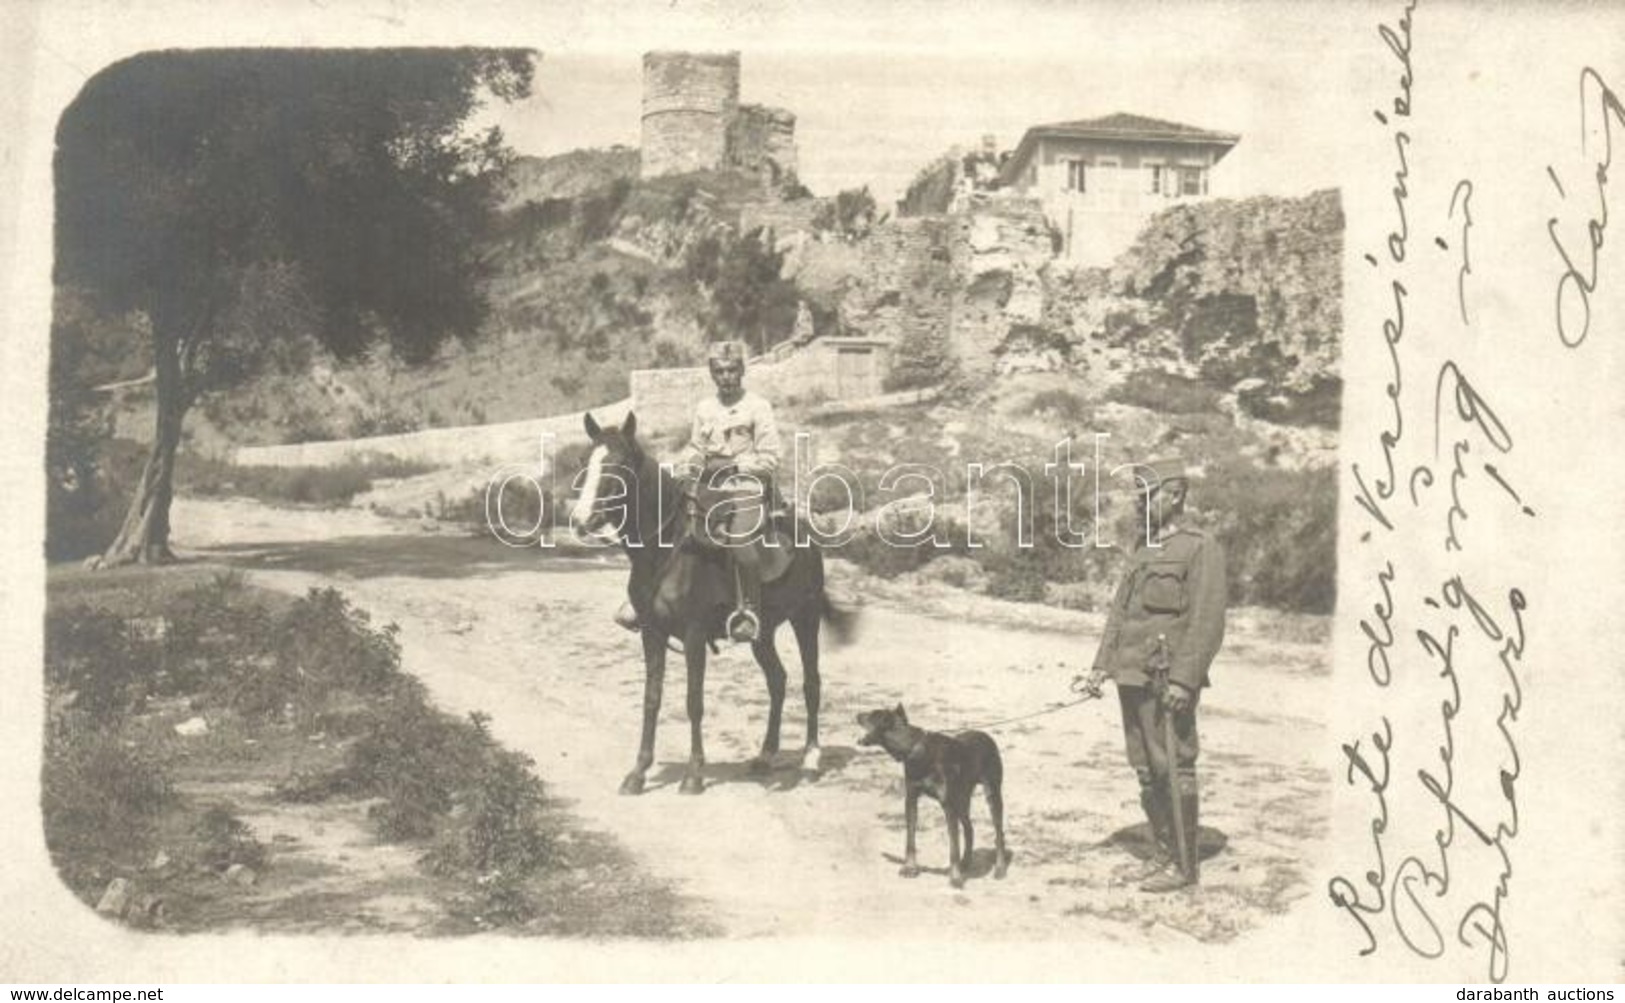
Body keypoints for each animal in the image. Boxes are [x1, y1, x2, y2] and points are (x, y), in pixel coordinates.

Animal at [568, 411, 858, 793]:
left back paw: (810, 760)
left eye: (619, 465)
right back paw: (765, 756)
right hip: (763, 634)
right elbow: (651, 698)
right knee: (777, 681)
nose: (580, 520)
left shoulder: (693, 635)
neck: (666, 548)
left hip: (805, 618)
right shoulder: (652, 633)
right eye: (584, 463)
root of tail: (807, 538)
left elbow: (694, 701)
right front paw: (638, 772)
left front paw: (694, 774)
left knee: (811, 683)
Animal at [858, 705, 1007, 884]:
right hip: (962, 798)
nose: (856, 715)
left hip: (992, 793)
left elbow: (954, 845)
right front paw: (910, 867)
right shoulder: (911, 799)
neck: (915, 749)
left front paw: (955, 877)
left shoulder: (948, 805)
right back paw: (965, 862)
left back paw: (999, 868)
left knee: (999, 833)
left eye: (872, 716)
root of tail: (987, 737)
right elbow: (910, 838)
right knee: (969, 828)